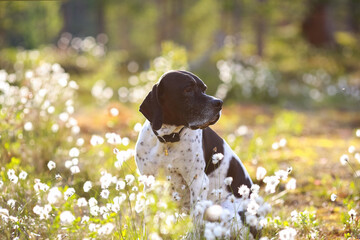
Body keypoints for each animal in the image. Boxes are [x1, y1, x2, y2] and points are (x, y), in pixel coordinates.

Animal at [135, 70, 253, 212]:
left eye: (204, 89)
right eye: (188, 89)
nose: (219, 103)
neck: (168, 139)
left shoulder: (199, 182)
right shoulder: (149, 180)